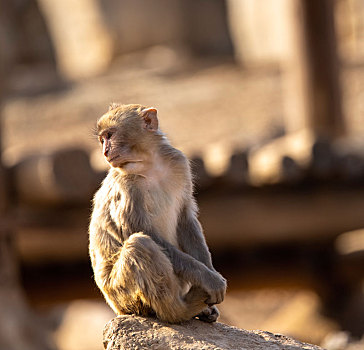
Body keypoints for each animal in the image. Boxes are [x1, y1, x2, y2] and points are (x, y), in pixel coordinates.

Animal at [89, 103, 225, 322]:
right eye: (103, 139)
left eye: (109, 135)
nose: (105, 151)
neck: (150, 164)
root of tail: (116, 308)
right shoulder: (126, 186)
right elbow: (140, 231)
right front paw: (209, 279)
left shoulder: (179, 162)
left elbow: (185, 219)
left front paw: (210, 272)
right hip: (122, 294)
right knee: (139, 245)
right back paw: (181, 309)